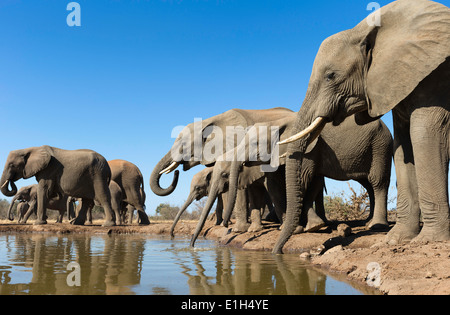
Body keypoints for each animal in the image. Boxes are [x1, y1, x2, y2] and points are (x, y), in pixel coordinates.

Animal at [272, 0, 450, 253]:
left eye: (330, 76)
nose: (276, 253)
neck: (364, 30)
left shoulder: (434, 77)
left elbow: (423, 136)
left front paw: (428, 240)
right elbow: (404, 147)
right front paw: (396, 240)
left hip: (378, 145)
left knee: (377, 181)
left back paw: (376, 226)